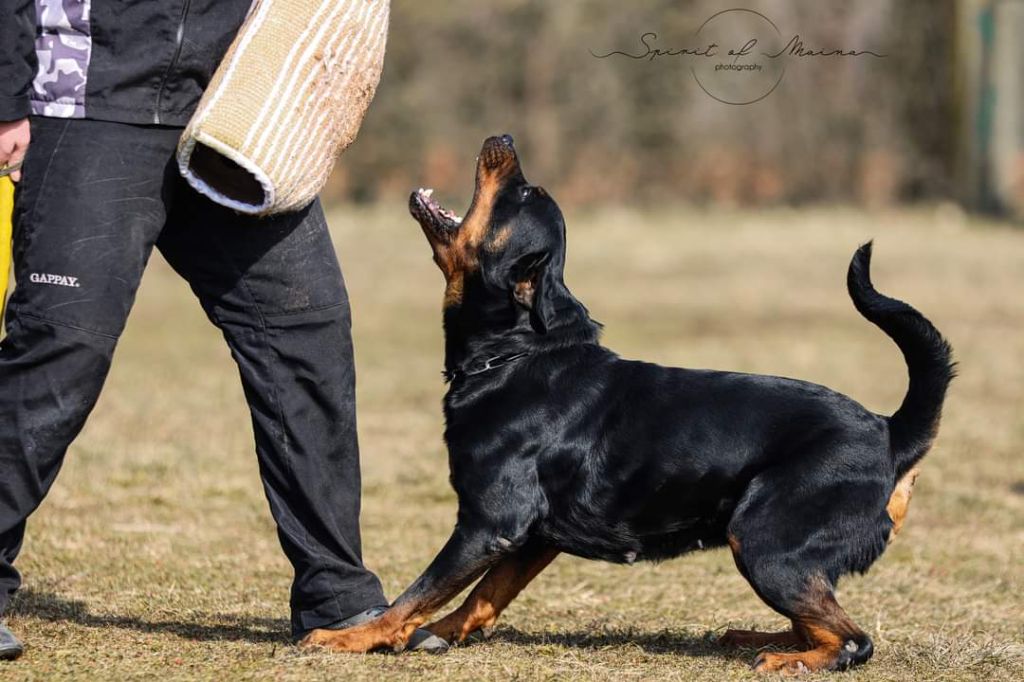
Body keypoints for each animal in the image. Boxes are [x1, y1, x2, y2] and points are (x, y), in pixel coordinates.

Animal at [301, 135, 950, 671]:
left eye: (523, 192)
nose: (504, 138)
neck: (514, 353)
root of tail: (891, 432)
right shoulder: (533, 536)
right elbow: (483, 597)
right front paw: (440, 633)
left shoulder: (490, 523)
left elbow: (416, 593)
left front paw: (349, 638)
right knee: (818, 621)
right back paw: (758, 637)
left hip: (764, 540)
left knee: (852, 640)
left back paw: (789, 659)